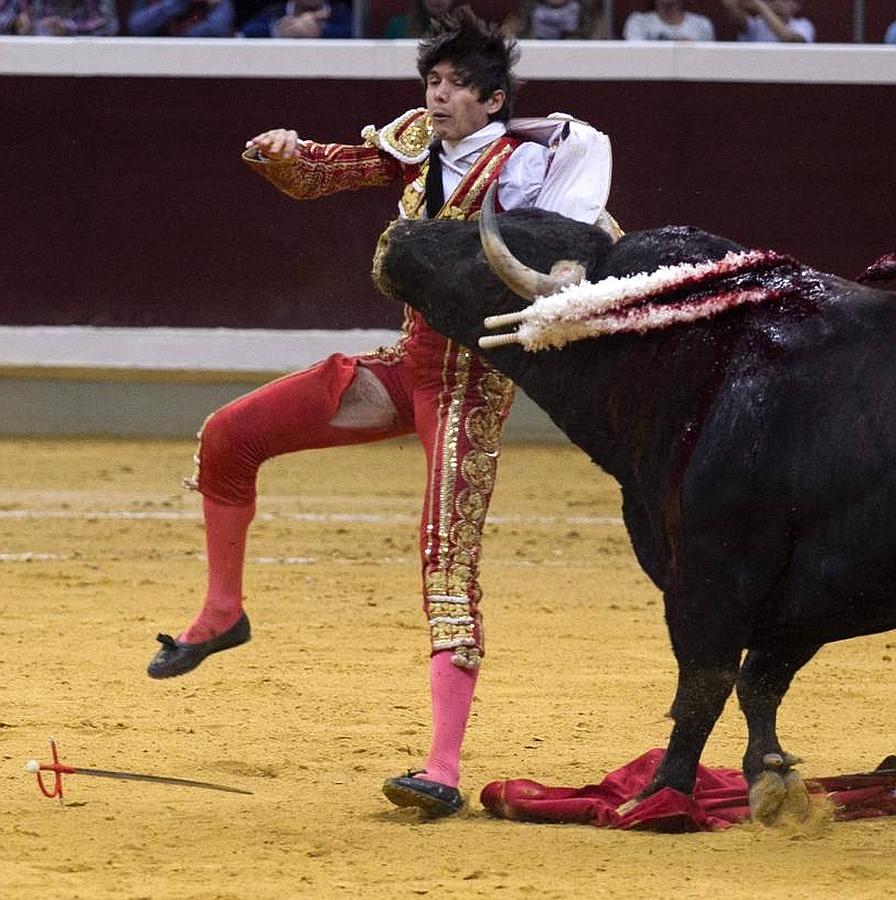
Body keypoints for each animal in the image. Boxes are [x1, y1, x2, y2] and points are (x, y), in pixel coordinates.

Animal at [374, 193, 896, 828]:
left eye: (482, 249)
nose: (395, 235)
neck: (704, 355)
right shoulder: (809, 594)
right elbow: (759, 682)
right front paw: (771, 777)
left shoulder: (719, 567)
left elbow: (707, 683)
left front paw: (661, 793)